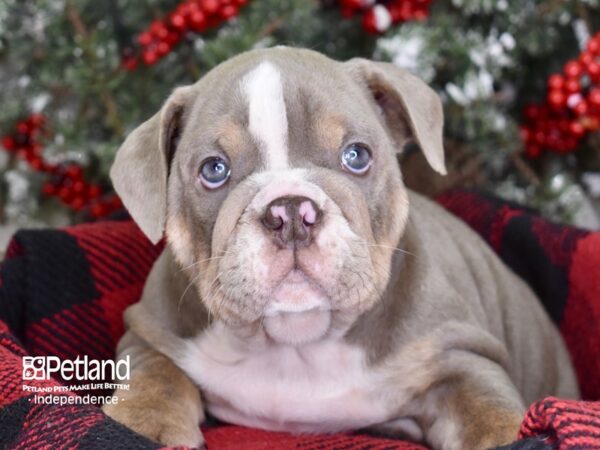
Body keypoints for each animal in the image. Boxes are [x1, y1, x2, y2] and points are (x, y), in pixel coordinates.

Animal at [102, 47, 576, 448]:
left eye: (357, 155)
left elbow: (491, 414)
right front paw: (144, 424)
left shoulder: (459, 355)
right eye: (214, 170)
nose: (291, 212)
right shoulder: (150, 332)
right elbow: (153, 378)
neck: (297, 341)